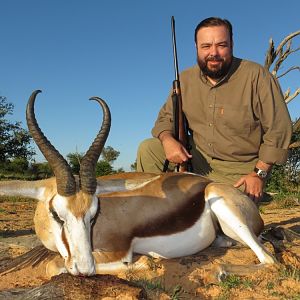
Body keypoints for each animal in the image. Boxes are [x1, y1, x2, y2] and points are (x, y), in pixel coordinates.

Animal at [0, 90, 276, 278]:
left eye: (93, 215)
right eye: (58, 214)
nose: (84, 268)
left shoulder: (117, 250)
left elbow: (54, 265)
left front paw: (145, 262)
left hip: (227, 211)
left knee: (269, 259)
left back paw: (221, 270)